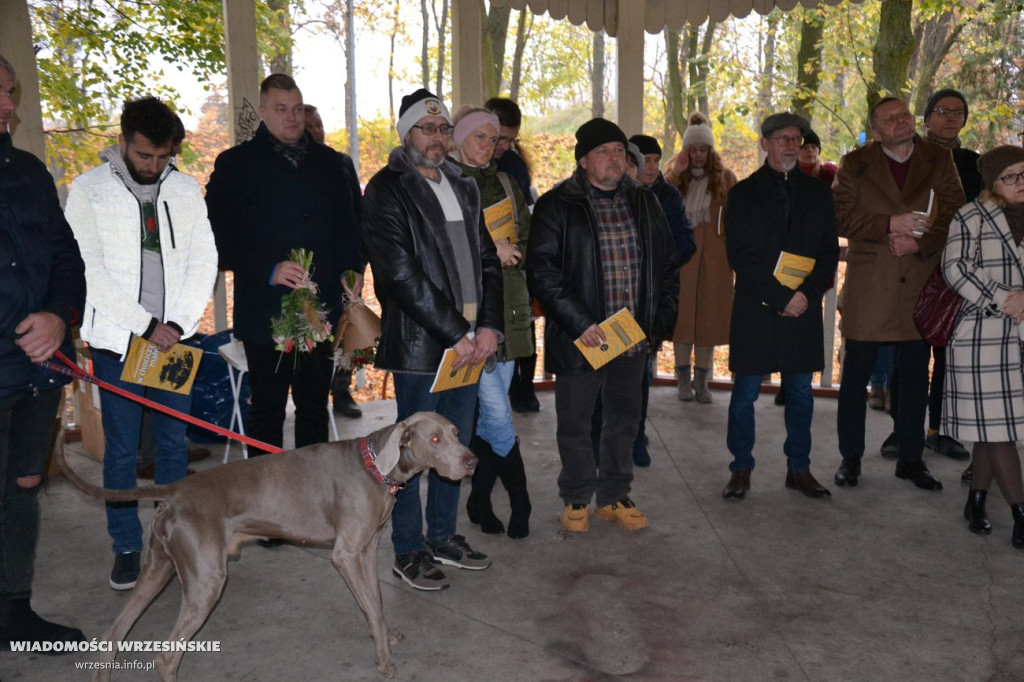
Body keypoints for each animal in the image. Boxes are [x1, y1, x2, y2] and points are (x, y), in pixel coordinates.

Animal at [61, 411, 477, 675]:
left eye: (456, 432)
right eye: (434, 439)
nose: (472, 461)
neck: (375, 465)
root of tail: (174, 490)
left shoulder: (368, 549)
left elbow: (374, 601)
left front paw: (384, 636)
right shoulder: (347, 555)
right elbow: (372, 607)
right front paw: (385, 660)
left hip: (158, 567)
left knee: (112, 637)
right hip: (206, 578)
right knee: (166, 657)